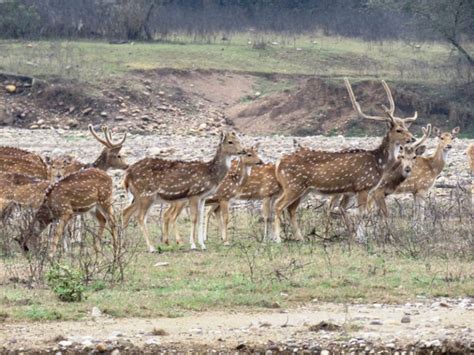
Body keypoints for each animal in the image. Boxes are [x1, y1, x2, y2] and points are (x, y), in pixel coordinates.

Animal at [272, 78, 416, 242]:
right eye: (398, 130)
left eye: (406, 127)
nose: (412, 138)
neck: (379, 164)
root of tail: (278, 164)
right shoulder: (363, 186)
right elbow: (362, 213)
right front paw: (361, 238)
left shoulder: (351, 190)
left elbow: (348, 210)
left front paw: (355, 236)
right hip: (293, 185)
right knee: (278, 205)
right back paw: (277, 239)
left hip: (303, 189)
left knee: (291, 209)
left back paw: (300, 238)